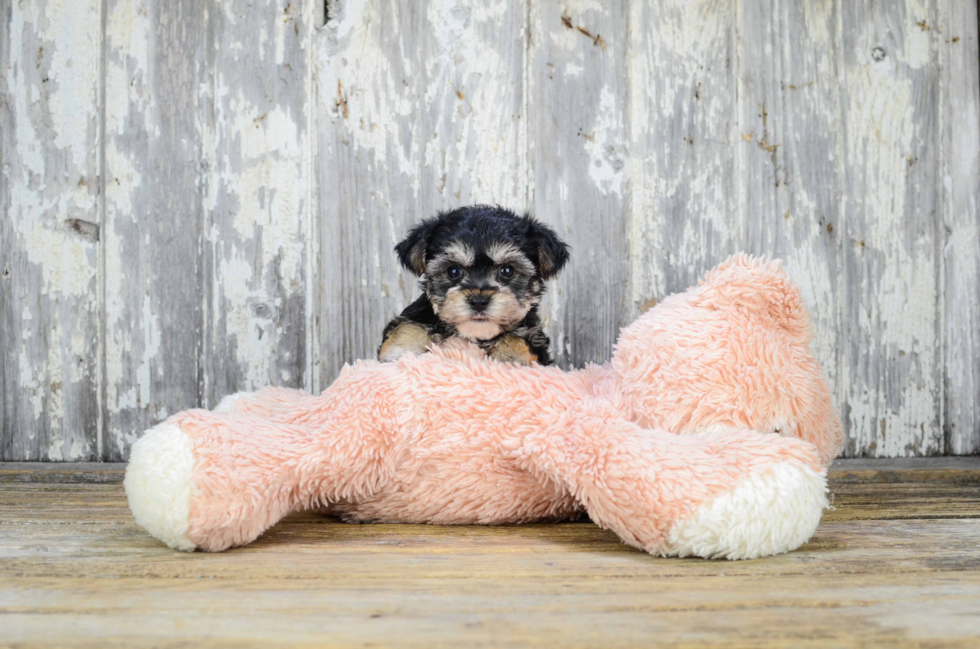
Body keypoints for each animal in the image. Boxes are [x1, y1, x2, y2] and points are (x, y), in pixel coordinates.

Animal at [378, 205, 572, 364]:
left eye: (507, 270)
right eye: (453, 271)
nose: (479, 301)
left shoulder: (535, 335)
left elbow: (519, 338)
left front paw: (512, 357)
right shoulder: (417, 312)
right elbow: (407, 325)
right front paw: (399, 350)